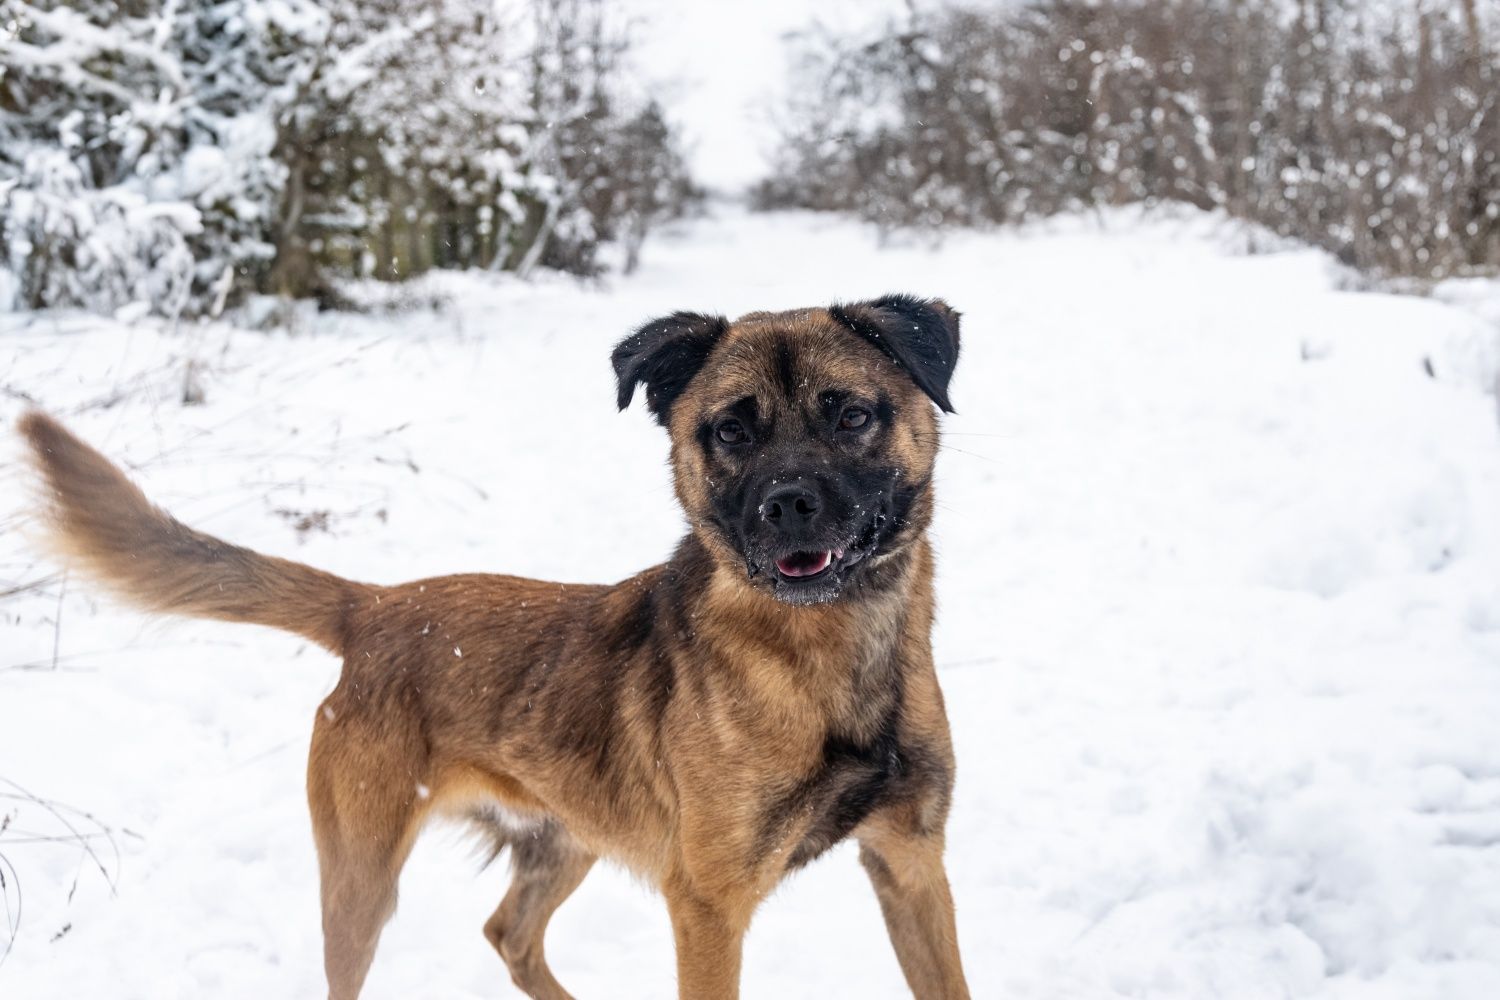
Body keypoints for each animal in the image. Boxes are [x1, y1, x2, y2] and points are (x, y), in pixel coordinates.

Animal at [17, 293, 972, 995]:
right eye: (732, 430)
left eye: (849, 416)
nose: (788, 504)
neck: (832, 654)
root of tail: (376, 607)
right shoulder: (708, 907)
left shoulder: (912, 866)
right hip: (363, 882)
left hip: (564, 839)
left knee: (510, 935)